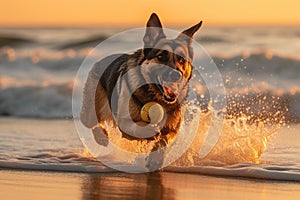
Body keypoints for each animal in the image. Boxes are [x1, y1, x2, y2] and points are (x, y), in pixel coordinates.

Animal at [79, 12, 202, 167]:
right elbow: (138, 127)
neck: (155, 95)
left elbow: (163, 141)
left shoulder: (172, 130)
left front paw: (155, 159)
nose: (176, 75)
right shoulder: (125, 124)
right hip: (90, 111)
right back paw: (101, 137)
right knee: (93, 121)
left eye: (182, 60)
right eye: (161, 56)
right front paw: (150, 130)